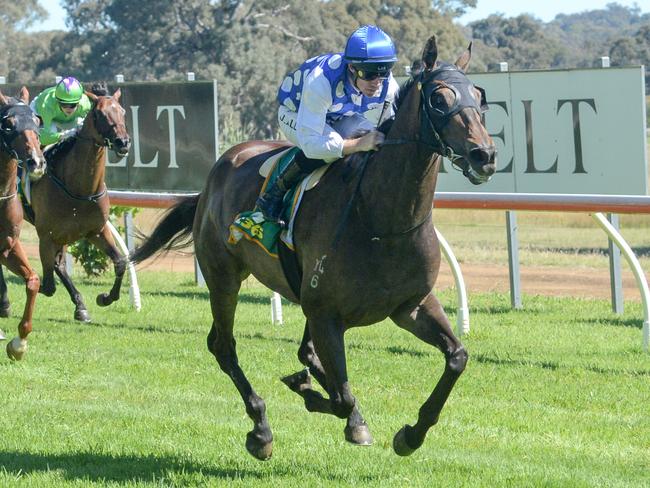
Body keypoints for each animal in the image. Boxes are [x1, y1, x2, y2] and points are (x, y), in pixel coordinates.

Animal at [0, 85, 129, 324]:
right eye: (99, 114)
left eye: (122, 112)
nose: (123, 142)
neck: (80, 189)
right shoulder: (46, 236)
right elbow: (48, 285)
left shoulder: (96, 230)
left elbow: (120, 262)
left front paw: (105, 297)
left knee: (59, 264)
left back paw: (80, 306)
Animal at [132, 36, 496, 460]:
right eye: (439, 98)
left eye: (479, 96)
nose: (484, 155)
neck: (380, 219)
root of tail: (217, 171)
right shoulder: (326, 315)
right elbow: (340, 395)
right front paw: (310, 395)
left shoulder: (410, 305)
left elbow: (457, 358)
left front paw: (410, 434)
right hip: (223, 277)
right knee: (223, 346)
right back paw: (261, 429)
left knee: (302, 353)